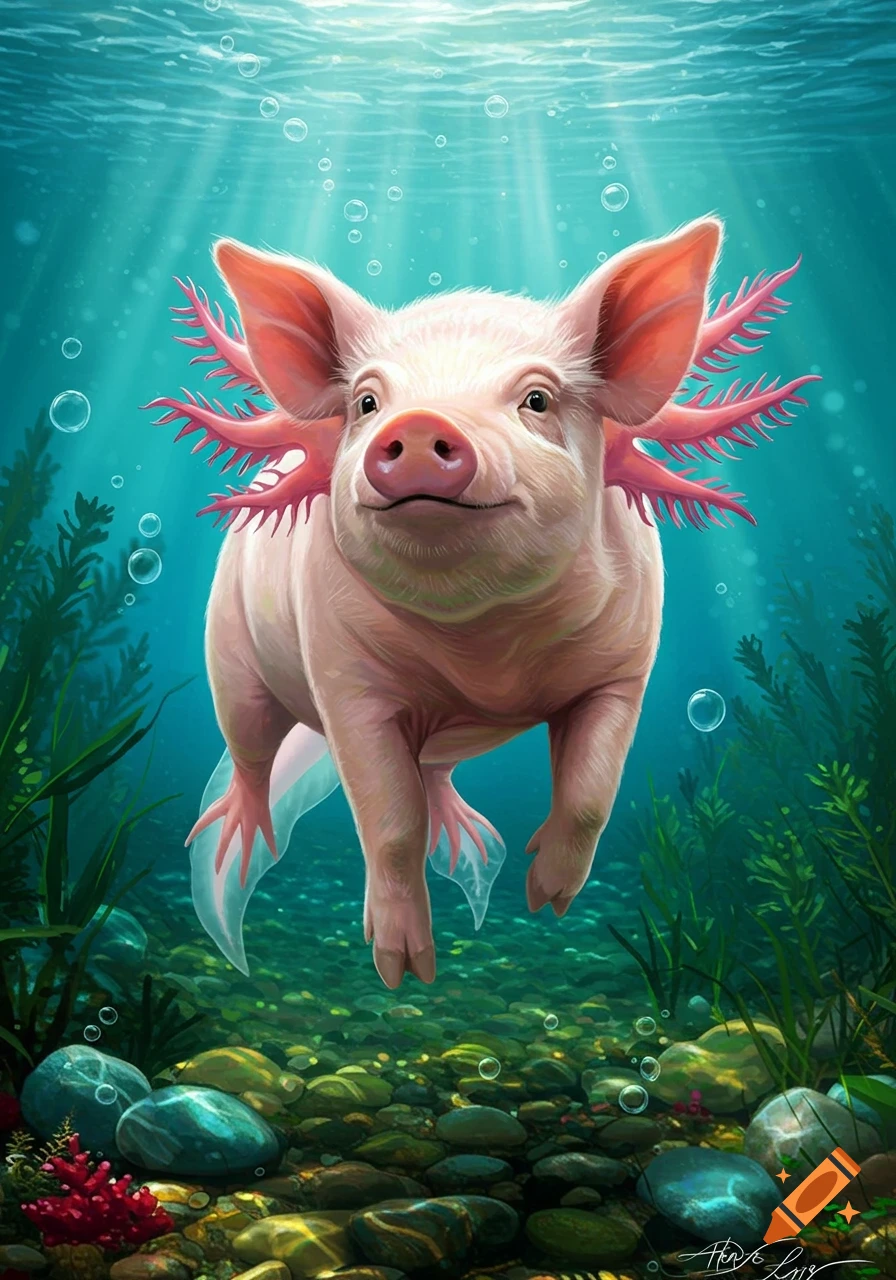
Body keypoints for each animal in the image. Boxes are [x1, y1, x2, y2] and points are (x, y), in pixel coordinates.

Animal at [146, 217, 816, 988]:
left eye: (537, 400)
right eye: (368, 403)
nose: (414, 430)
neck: (483, 637)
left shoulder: (625, 661)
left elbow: (591, 794)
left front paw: (546, 896)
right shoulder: (347, 679)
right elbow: (389, 821)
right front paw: (402, 964)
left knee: (433, 772)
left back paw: (467, 839)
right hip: (231, 644)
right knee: (250, 742)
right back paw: (238, 839)